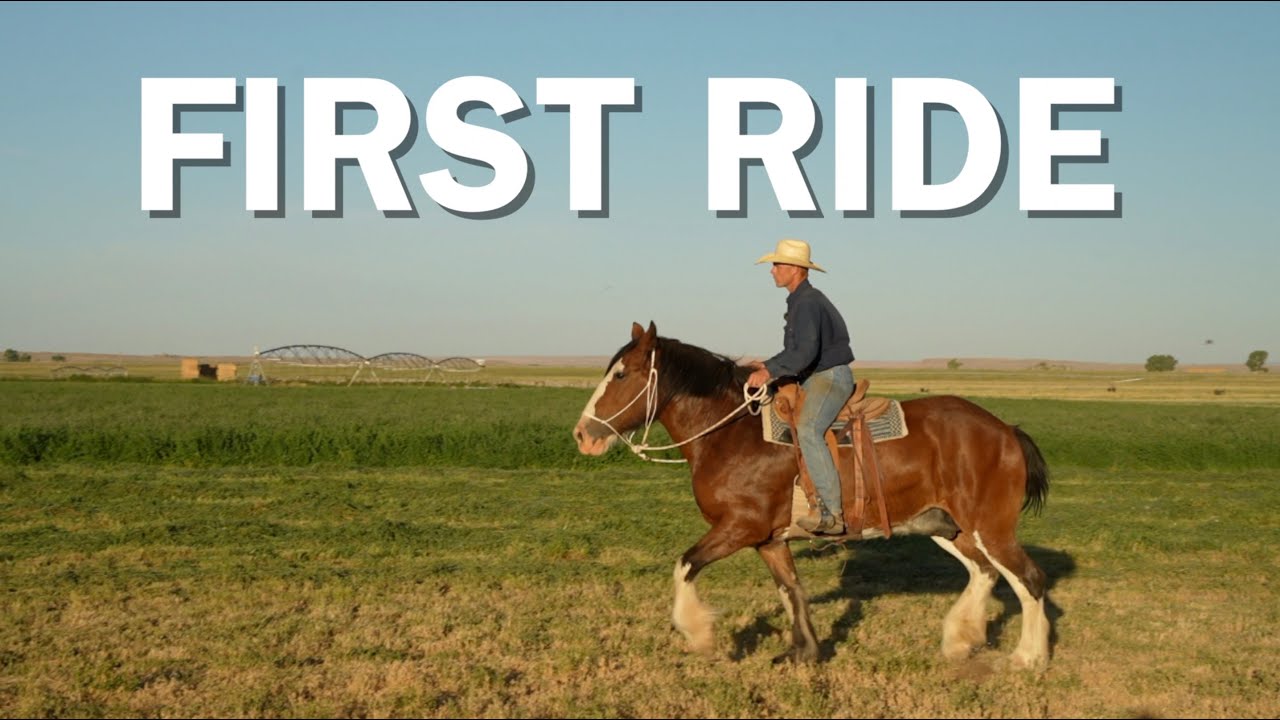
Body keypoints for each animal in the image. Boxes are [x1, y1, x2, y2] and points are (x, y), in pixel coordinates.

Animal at [572, 322, 1052, 669]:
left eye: (621, 374)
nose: (582, 435)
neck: (731, 434)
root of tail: (1005, 430)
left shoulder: (739, 528)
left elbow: (685, 566)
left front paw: (700, 634)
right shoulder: (770, 541)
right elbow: (792, 591)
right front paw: (803, 653)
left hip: (990, 528)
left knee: (1028, 579)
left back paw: (1028, 657)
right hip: (948, 527)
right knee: (984, 574)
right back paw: (960, 640)